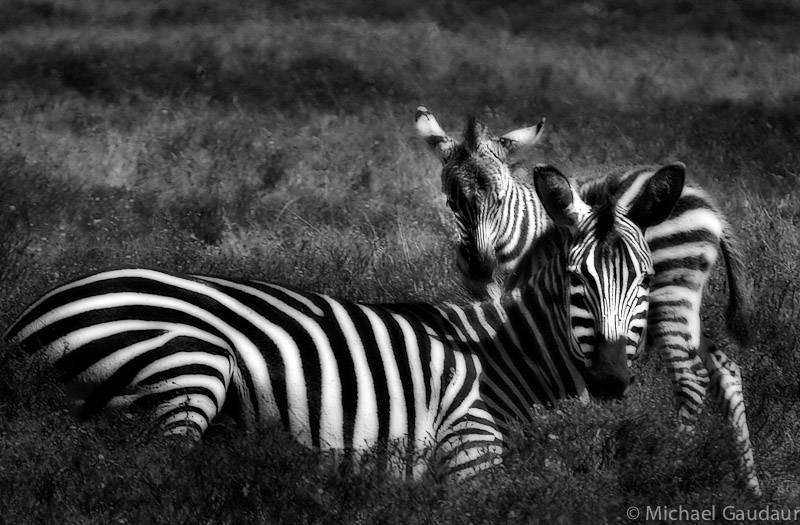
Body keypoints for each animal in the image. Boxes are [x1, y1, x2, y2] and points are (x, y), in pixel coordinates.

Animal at [9, 166, 676, 482]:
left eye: (646, 279)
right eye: (577, 279)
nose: (613, 379)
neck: (505, 359)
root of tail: (24, 321)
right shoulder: (470, 450)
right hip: (191, 365)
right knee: (155, 479)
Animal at [416, 106, 760, 496]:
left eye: (500, 199)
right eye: (451, 201)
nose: (478, 266)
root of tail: (708, 204)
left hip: (669, 295)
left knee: (692, 378)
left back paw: (672, 465)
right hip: (684, 305)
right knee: (727, 371)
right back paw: (750, 485)